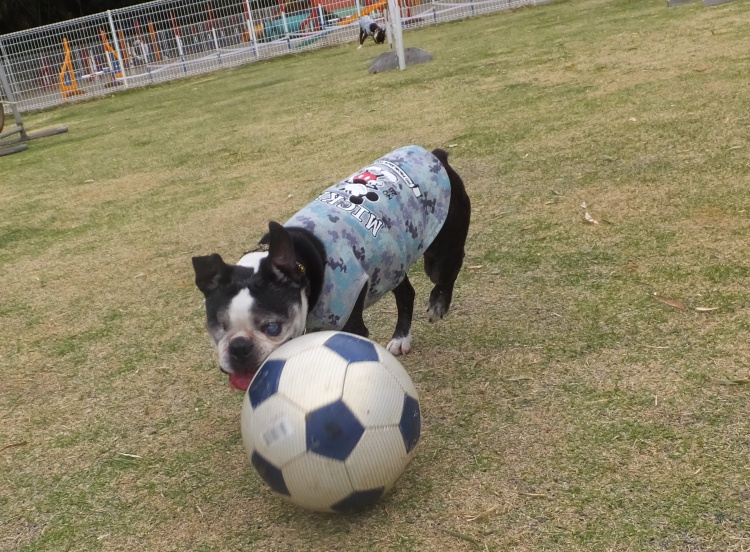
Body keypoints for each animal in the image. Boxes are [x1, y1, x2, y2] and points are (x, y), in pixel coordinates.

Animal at [192, 146, 471, 391]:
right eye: (217, 326)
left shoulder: (350, 326)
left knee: (448, 270)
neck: (302, 267)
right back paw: (401, 338)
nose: (239, 348)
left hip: (439, 252)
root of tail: (435, 155)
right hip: (391, 262)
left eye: (272, 328)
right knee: (406, 294)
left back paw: (438, 304)